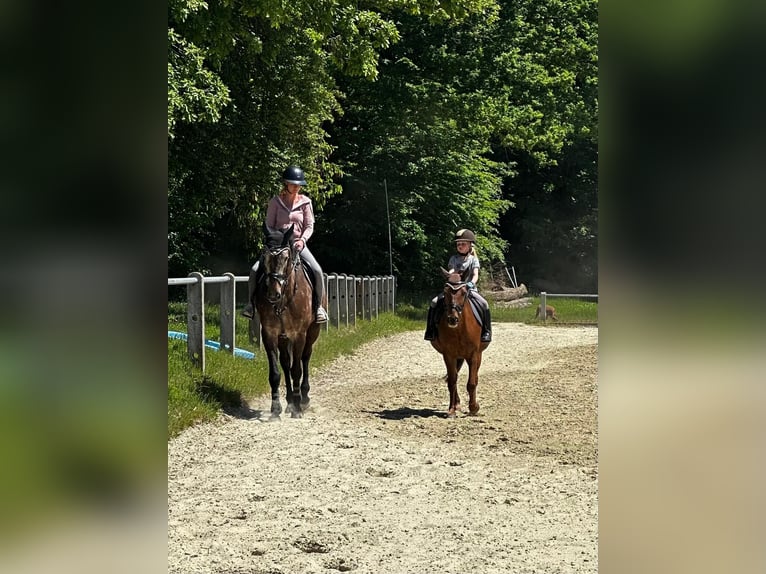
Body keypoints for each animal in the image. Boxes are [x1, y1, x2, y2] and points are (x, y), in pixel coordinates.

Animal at [254, 224, 322, 418]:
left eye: (285, 258)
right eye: (264, 258)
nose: (273, 294)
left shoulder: (299, 334)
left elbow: (296, 369)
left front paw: (298, 408)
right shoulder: (269, 333)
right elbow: (276, 372)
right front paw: (276, 408)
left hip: (312, 332)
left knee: (305, 358)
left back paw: (303, 398)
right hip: (283, 337)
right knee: (285, 363)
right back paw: (290, 401)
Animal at [428, 270, 488, 418]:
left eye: (464, 291)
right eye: (445, 291)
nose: (452, 319)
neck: (459, 329)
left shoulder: (473, 355)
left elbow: (472, 383)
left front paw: (473, 407)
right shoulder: (449, 355)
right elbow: (452, 381)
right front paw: (452, 409)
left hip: (477, 356)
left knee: (475, 377)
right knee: (453, 378)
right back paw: (457, 404)